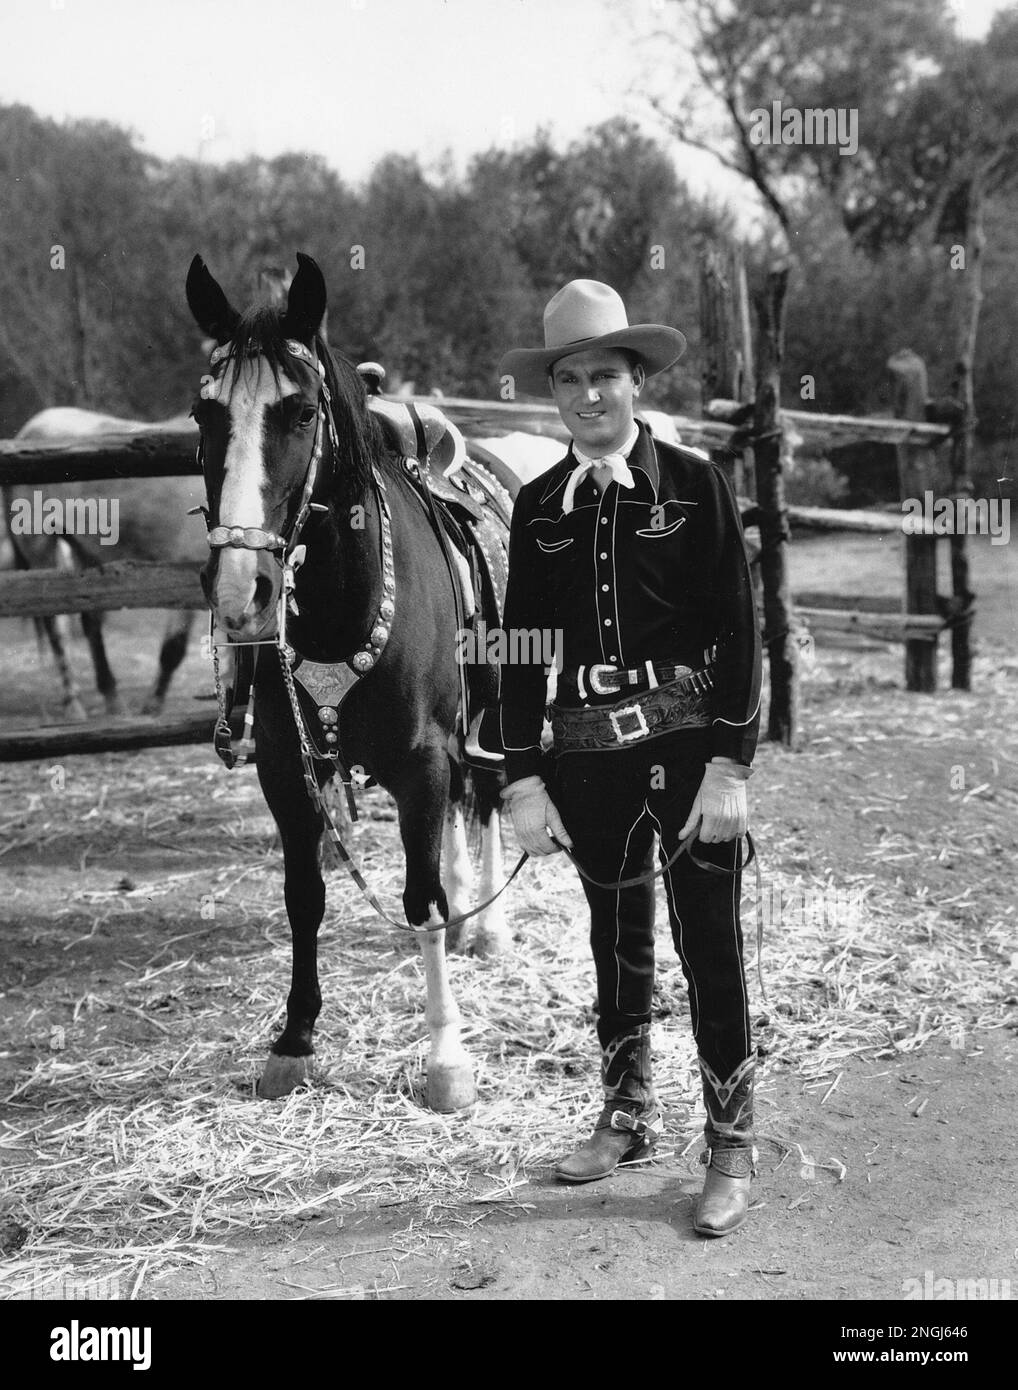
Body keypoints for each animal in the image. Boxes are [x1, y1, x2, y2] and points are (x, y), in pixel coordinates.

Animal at [3, 409, 208, 720]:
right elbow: (173, 650)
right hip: (42, 549)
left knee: (90, 622)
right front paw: (152, 707)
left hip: (85, 551)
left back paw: (112, 698)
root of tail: (31, 427)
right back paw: (74, 704)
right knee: (56, 628)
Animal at [185, 250, 510, 1109]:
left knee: (486, 807)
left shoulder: (422, 763)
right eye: (204, 416)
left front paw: (446, 1059)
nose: (243, 589)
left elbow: (419, 898)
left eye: (301, 413)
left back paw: (487, 930)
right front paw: (294, 1040)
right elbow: (305, 896)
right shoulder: (286, 771)